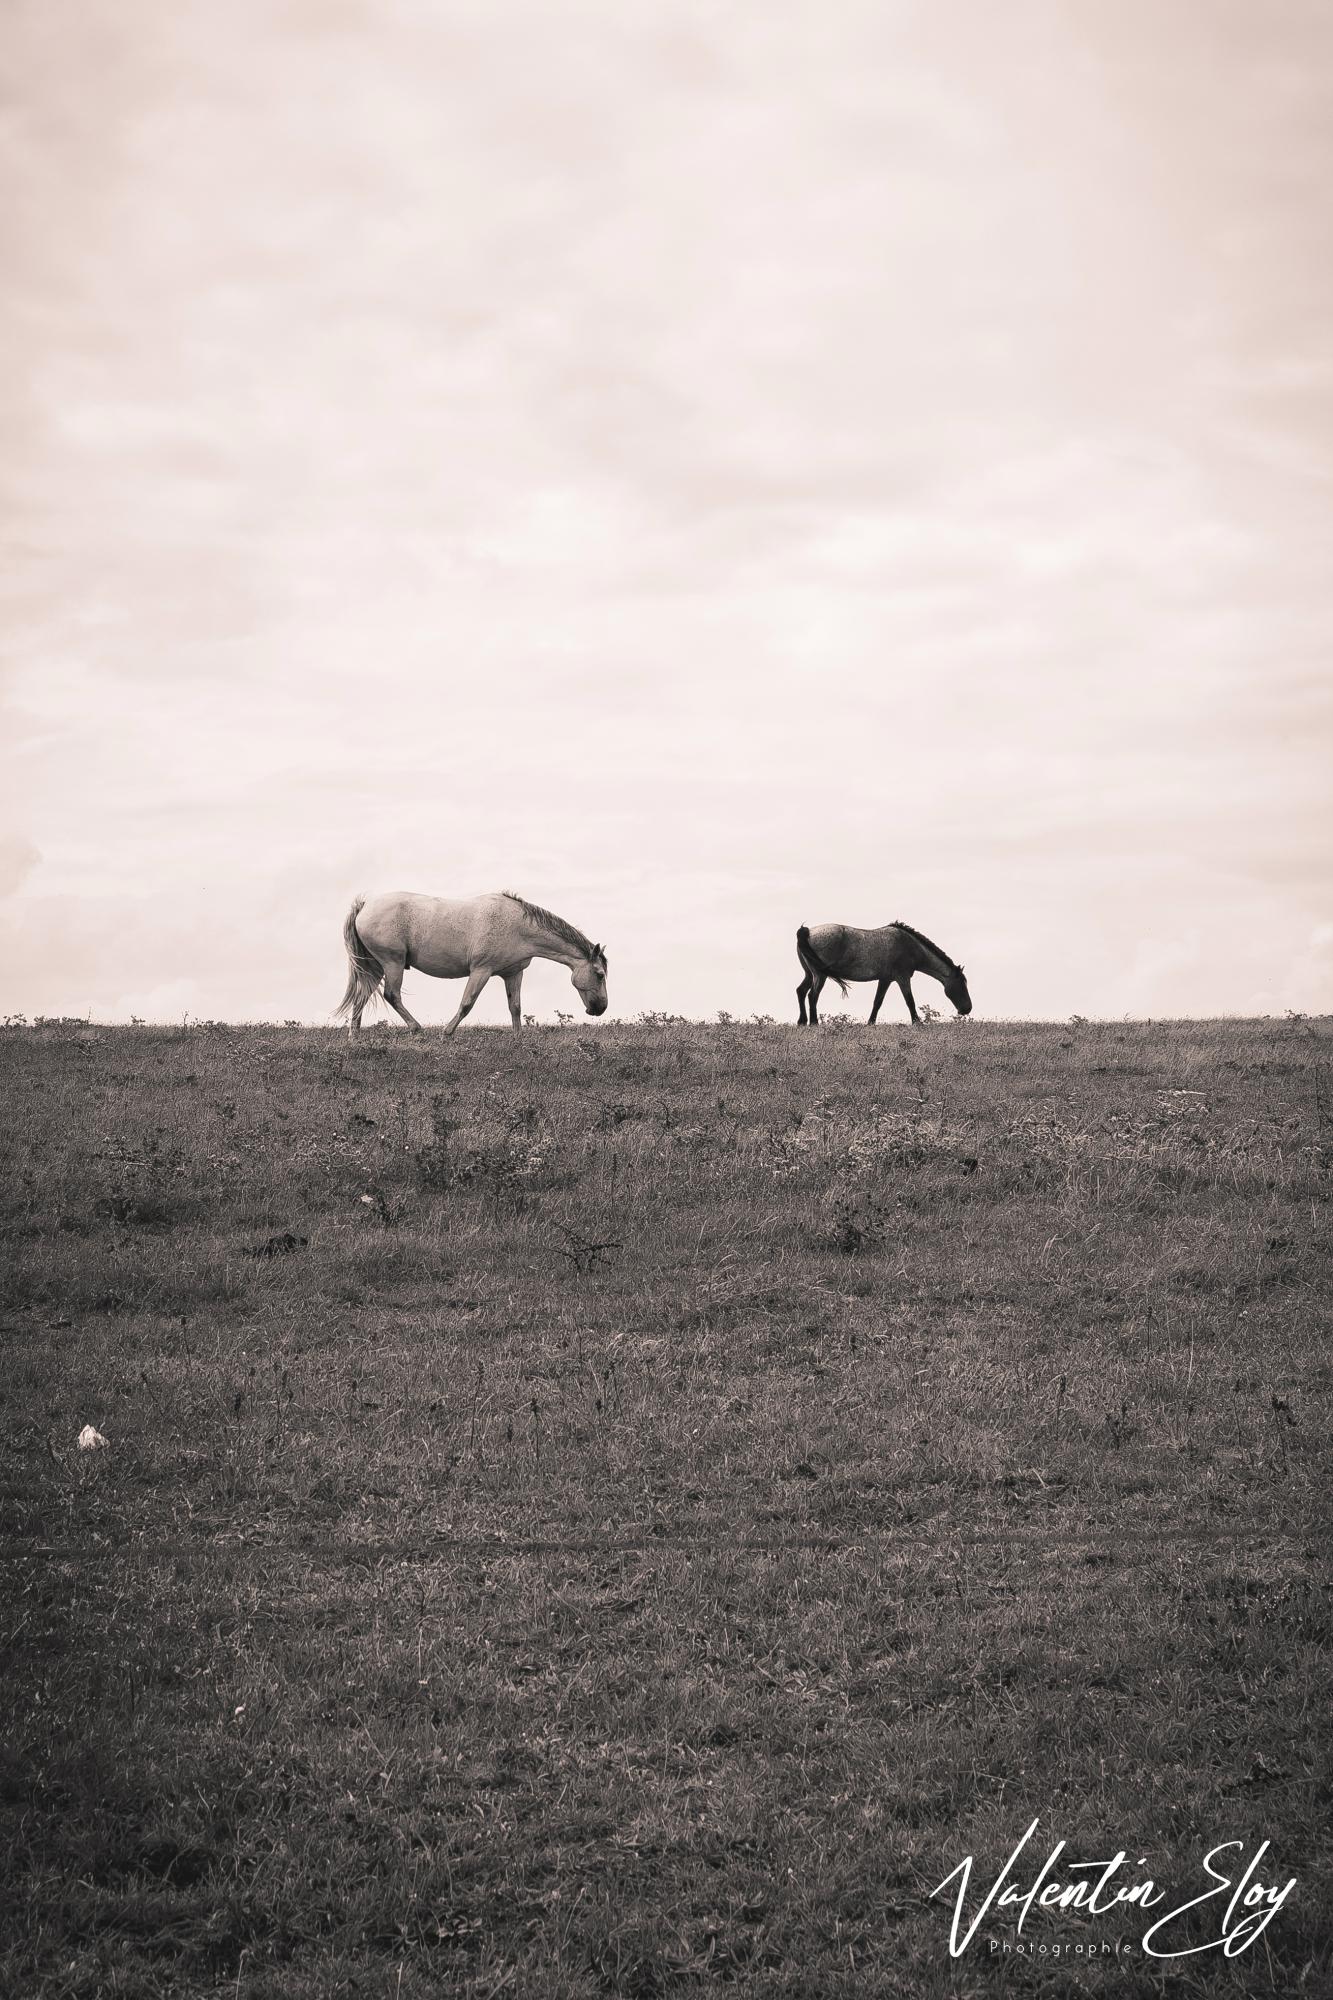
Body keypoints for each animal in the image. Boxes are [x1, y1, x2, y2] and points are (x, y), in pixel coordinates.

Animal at [334, 896, 604, 1048]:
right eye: (600, 974)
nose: (600, 1008)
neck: (518, 927)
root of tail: (363, 907)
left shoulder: (513, 974)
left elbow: (515, 1007)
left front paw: (518, 1039)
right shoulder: (481, 971)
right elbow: (467, 1004)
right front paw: (446, 1034)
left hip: (376, 967)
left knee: (361, 997)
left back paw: (354, 1038)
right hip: (393, 963)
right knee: (391, 995)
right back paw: (416, 1029)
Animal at [792, 916, 972, 1024]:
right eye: (962, 985)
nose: (967, 1009)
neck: (910, 946)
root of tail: (808, 930)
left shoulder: (885, 979)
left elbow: (877, 1002)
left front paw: (870, 1023)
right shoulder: (902, 978)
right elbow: (910, 1001)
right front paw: (917, 1022)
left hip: (809, 974)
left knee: (801, 991)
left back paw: (802, 1022)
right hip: (819, 975)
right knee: (812, 996)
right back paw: (814, 1023)